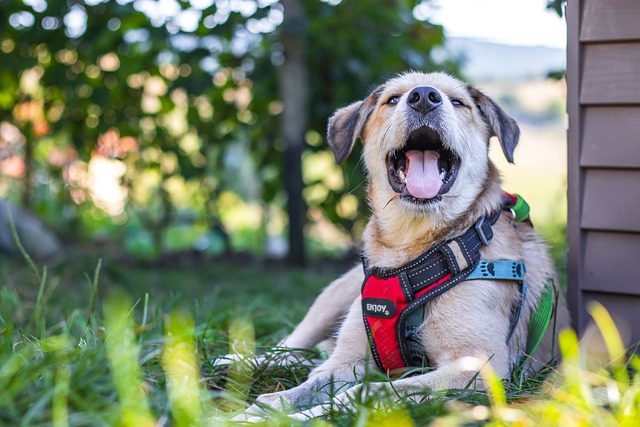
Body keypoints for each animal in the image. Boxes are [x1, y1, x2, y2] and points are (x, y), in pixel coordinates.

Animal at [240, 72, 568, 422]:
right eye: (393, 99)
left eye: (458, 102)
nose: (424, 97)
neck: (413, 244)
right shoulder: (347, 360)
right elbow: (295, 391)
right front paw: (257, 412)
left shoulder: (479, 368)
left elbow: (369, 390)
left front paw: (309, 415)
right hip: (334, 296)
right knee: (292, 346)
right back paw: (236, 361)